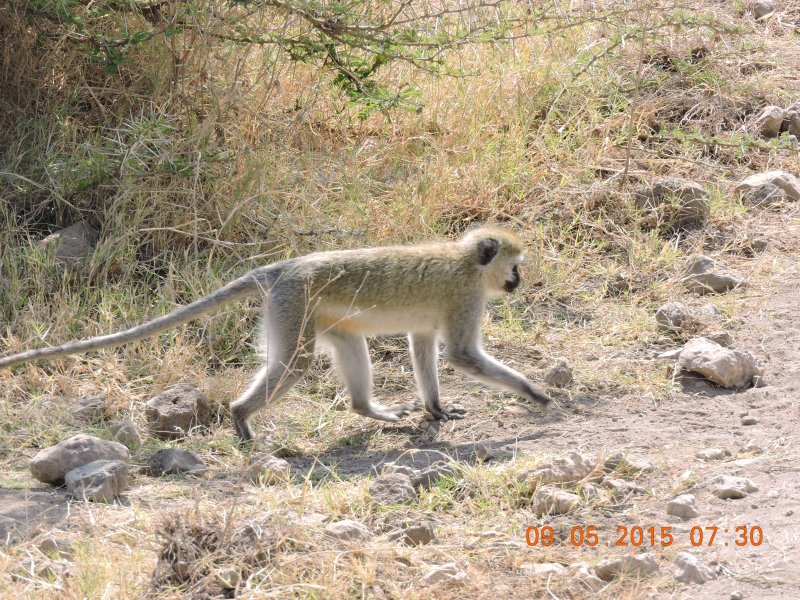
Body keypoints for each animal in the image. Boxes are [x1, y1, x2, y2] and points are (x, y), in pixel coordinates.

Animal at [0, 226, 552, 441]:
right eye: (515, 266)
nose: (519, 283)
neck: (466, 261)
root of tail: (281, 269)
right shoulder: (467, 297)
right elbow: (460, 354)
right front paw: (536, 393)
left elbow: (424, 349)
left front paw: (435, 410)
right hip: (292, 307)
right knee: (293, 364)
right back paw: (240, 415)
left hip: (314, 315)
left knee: (347, 349)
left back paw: (367, 410)